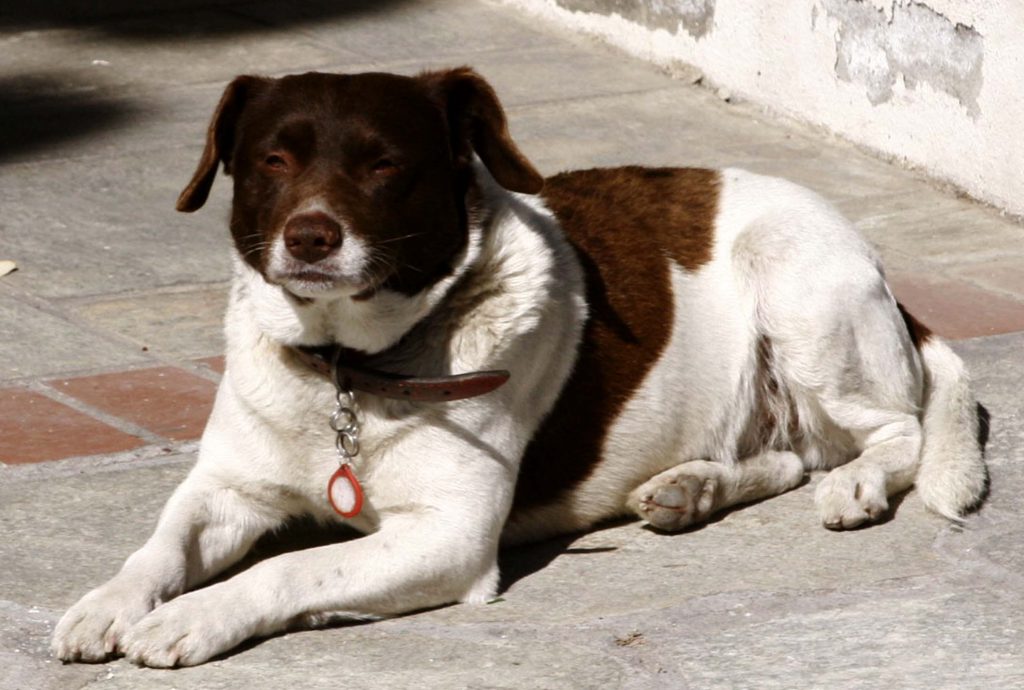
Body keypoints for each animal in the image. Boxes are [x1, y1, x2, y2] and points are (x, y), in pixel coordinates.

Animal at [49, 67, 991, 663]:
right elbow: (157, 549)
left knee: (895, 432)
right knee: (790, 454)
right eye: (271, 161)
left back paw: (856, 486)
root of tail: (878, 268)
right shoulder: (224, 490)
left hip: (797, 285)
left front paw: (194, 619)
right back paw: (692, 488)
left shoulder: (449, 536)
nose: (310, 236)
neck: (350, 368)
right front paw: (107, 602)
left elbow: (289, 567)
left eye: (385, 165)